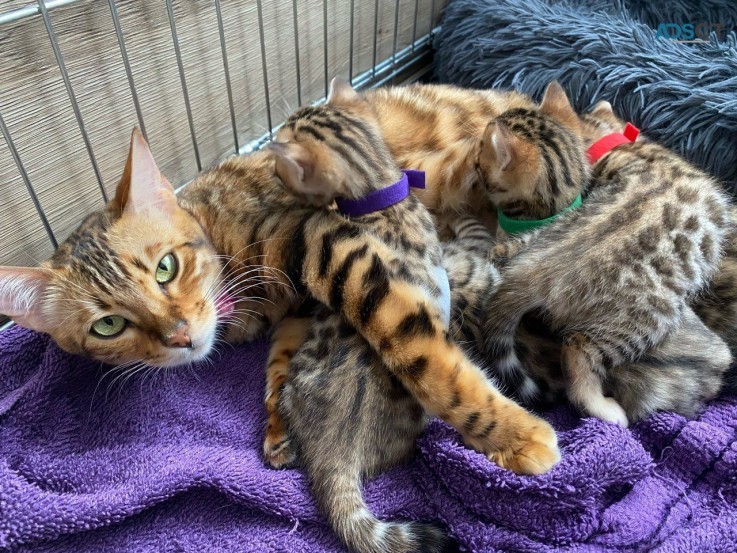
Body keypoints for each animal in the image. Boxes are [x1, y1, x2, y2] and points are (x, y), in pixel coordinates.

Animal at [484, 95, 732, 424]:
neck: (622, 146)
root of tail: (535, 271)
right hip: (647, 317)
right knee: (576, 350)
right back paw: (604, 408)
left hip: (543, 234)